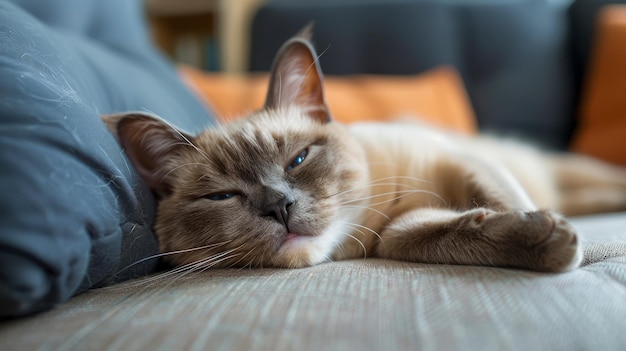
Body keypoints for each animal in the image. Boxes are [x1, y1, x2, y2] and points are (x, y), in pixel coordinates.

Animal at [102, 28, 624, 274]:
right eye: (222, 197)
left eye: (298, 160)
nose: (279, 207)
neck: (370, 221)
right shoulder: (396, 233)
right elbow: (435, 234)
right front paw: (546, 239)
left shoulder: (456, 161)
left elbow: (499, 200)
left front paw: (557, 240)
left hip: (566, 170)